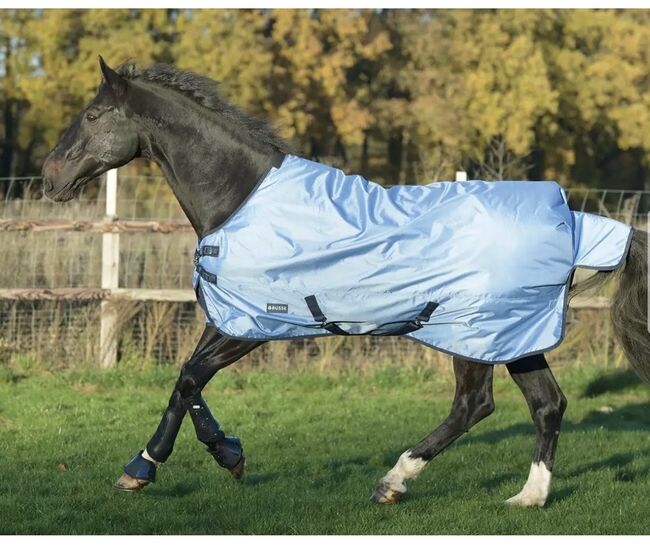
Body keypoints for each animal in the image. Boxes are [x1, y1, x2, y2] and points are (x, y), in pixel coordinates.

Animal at [41, 57, 649, 508]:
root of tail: (572, 219)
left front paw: (147, 467)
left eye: (94, 114)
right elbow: (185, 382)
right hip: (513, 336)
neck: (241, 197)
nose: (49, 178)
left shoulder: (253, 323)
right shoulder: (234, 318)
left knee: (474, 405)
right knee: (547, 404)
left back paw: (394, 481)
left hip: (473, 333)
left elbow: (189, 379)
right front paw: (225, 455)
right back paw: (528, 497)